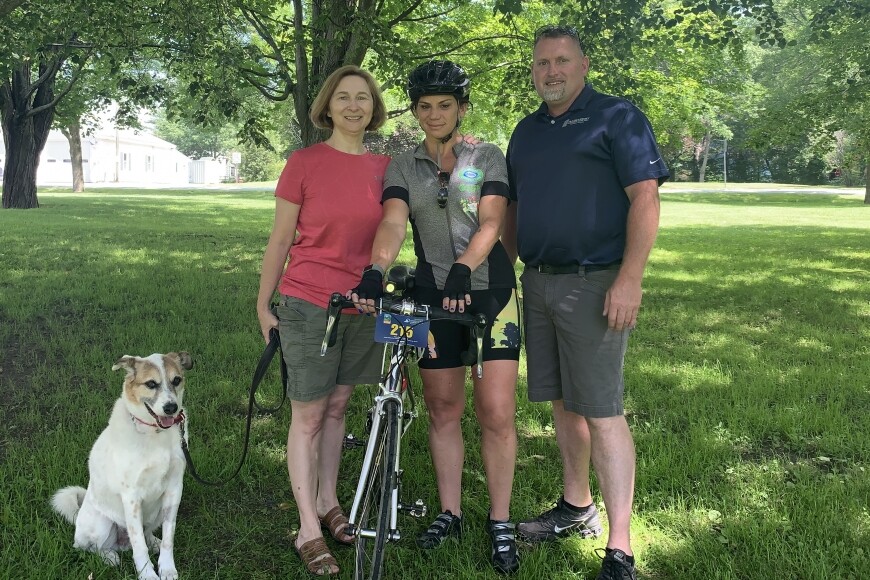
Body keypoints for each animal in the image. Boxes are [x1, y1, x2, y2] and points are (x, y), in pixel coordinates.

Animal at [52, 352, 194, 576]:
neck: (154, 433)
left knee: (147, 533)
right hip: (102, 523)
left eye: (176, 380)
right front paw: (147, 575)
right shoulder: (131, 496)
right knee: (89, 547)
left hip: (156, 512)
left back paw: (153, 542)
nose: (171, 408)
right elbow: (138, 545)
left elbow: (168, 538)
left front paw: (167, 568)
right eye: (151, 383)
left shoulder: (174, 490)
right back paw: (109, 557)